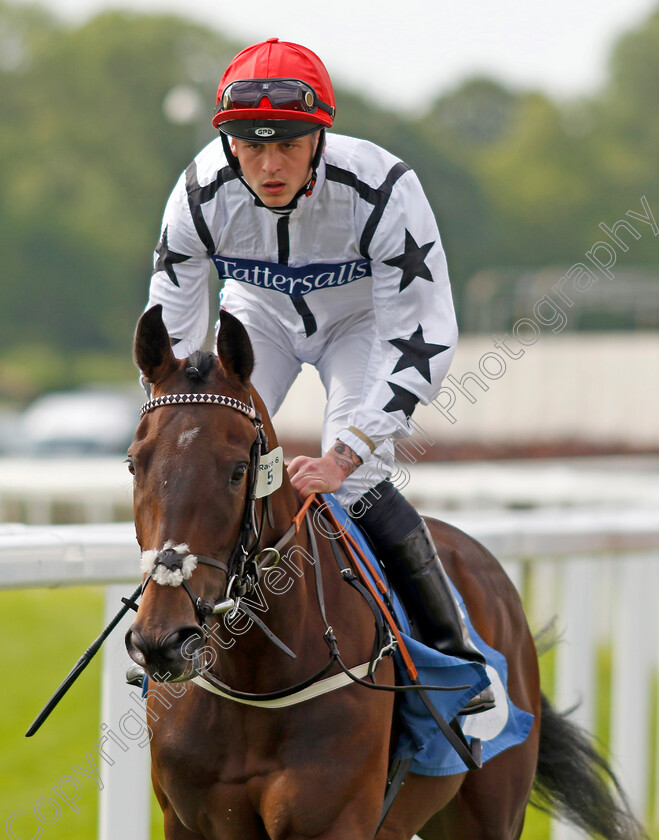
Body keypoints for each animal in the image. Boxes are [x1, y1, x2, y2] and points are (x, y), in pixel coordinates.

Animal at [126, 306, 648, 840]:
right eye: (133, 464)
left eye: (235, 472)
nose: (162, 640)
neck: (255, 683)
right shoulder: (189, 821)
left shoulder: (333, 821)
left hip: (489, 813)